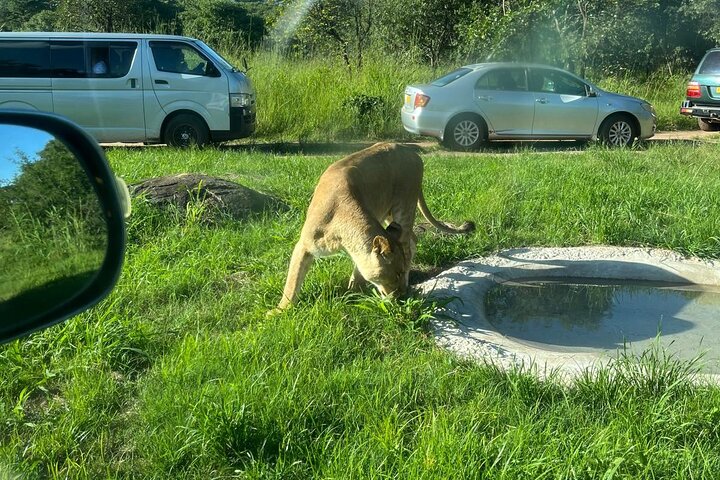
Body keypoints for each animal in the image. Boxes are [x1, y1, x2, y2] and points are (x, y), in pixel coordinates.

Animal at [274, 142, 474, 311]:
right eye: (396, 274)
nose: (402, 296)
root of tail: (412, 152)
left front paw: (353, 291)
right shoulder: (304, 245)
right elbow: (293, 281)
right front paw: (280, 311)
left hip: (404, 207)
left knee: (409, 244)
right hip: (390, 216)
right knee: (412, 239)